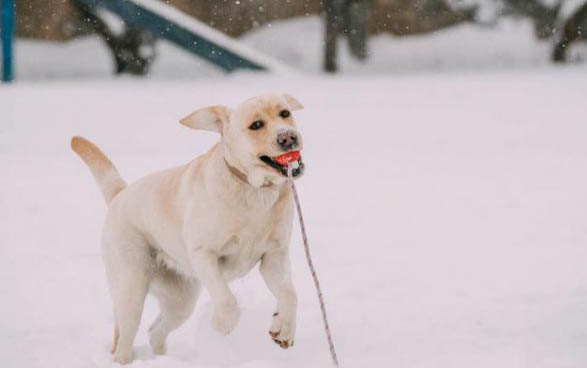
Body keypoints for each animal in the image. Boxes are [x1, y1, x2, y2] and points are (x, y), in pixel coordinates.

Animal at [71, 93, 306, 364]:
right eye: (256, 125)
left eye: (285, 113)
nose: (288, 137)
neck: (254, 191)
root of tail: (121, 193)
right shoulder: (204, 254)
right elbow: (227, 299)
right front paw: (221, 323)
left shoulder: (274, 256)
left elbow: (290, 293)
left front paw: (283, 328)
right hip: (131, 288)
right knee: (125, 338)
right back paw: (125, 359)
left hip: (180, 301)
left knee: (155, 331)